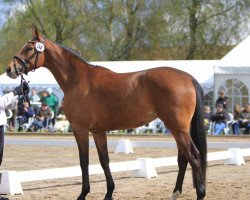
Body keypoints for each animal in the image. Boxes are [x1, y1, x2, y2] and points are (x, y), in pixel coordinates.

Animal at [5, 27, 207, 200]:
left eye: (29, 48)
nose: (9, 69)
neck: (78, 80)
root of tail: (188, 77)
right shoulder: (98, 131)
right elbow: (104, 160)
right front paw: (109, 193)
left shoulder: (80, 129)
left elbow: (84, 161)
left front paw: (83, 194)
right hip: (177, 128)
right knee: (183, 158)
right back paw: (175, 193)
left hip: (177, 127)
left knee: (195, 157)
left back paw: (200, 193)